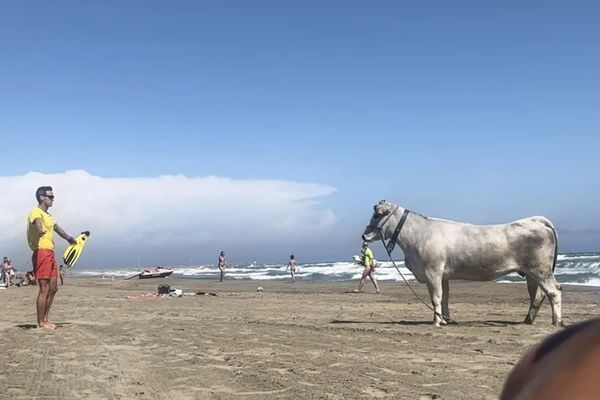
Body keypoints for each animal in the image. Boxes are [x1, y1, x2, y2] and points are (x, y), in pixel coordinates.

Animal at [360, 202, 564, 326]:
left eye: (377, 215)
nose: (364, 235)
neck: (415, 236)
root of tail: (535, 220)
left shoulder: (432, 272)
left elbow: (435, 297)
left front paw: (436, 322)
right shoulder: (442, 276)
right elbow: (444, 298)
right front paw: (445, 319)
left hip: (540, 270)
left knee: (553, 291)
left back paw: (556, 322)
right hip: (530, 273)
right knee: (537, 295)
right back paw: (528, 320)